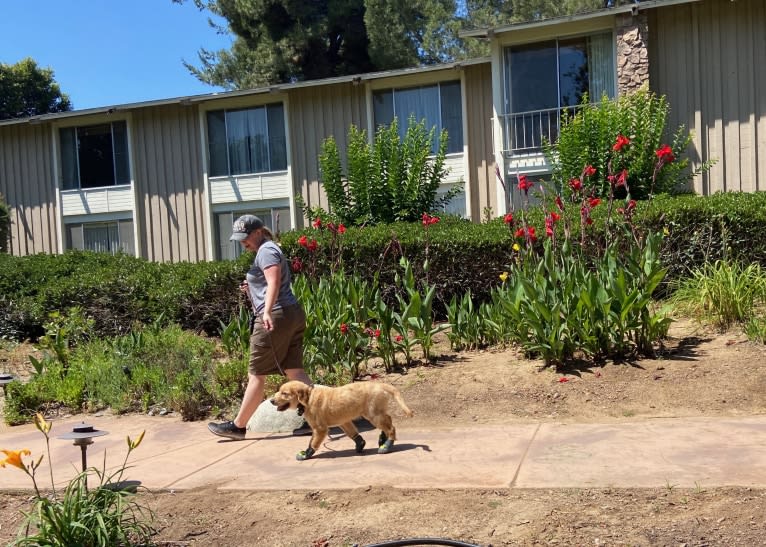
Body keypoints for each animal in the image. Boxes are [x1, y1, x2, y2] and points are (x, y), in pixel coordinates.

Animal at [270, 382, 414, 462]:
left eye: (284, 393)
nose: (271, 400)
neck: (308, 398)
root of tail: (381, 384)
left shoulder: (320, 428)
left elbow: (313, 443)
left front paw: (306, 454)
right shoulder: (343, 422)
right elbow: (355, 435)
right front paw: (360, 445)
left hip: (373, 414)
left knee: (391, 427)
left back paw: (387, 445)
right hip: (376, 413)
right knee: (388, 420)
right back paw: (382, 439)